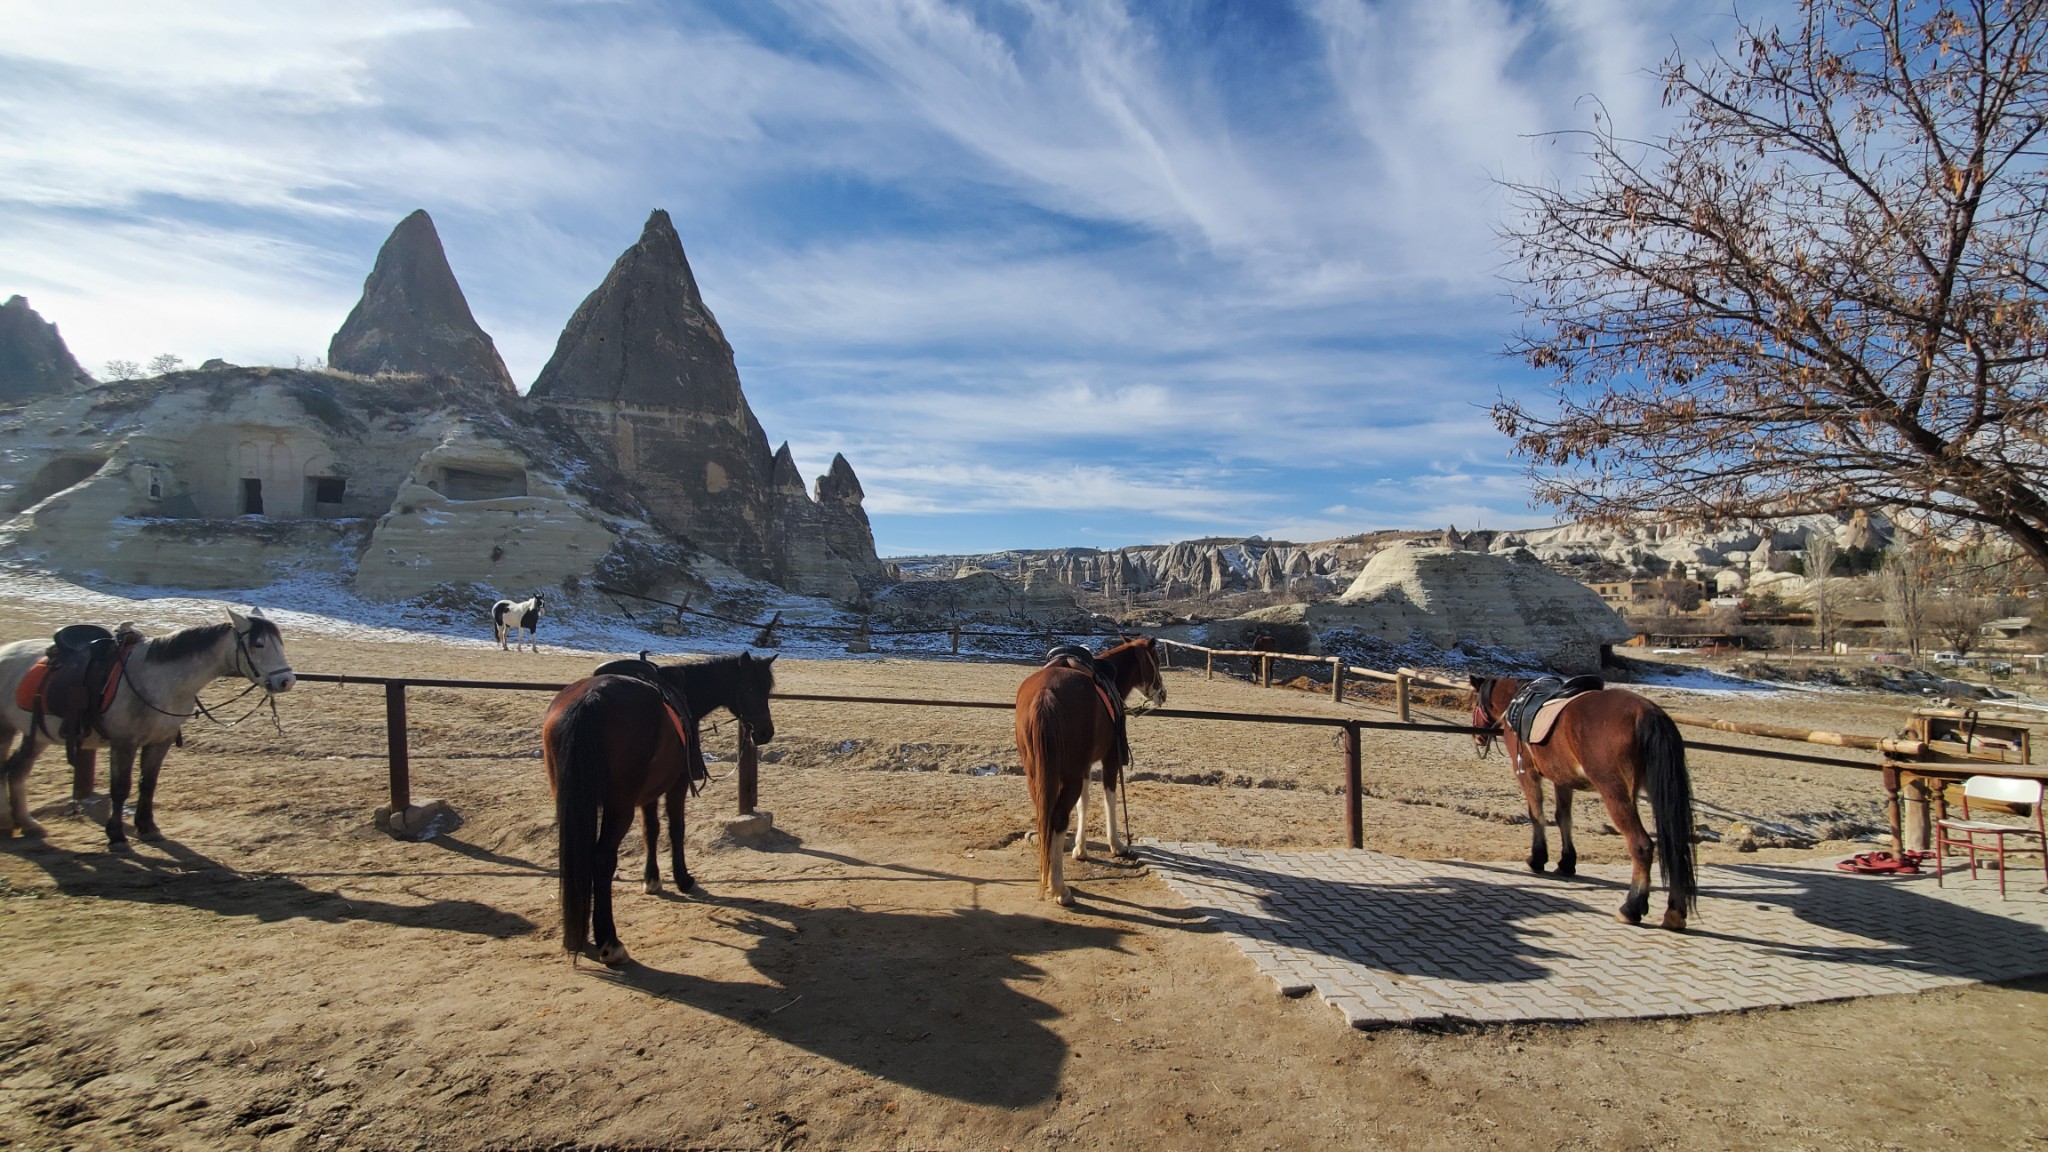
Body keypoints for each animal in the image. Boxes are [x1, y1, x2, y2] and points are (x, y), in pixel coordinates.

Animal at [0, 610, 299, 844]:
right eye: (258, 644)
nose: (286, 681)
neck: (158, 679)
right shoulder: (124, 742)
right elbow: (121, 787)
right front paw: (116, 833)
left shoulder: (160, 741)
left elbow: (148, 783)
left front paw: (148, 827)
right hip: (7, 729)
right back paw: (11, 822)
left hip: (37, 734)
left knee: (16, 770)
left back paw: (25, 824)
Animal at [544, 651, 774, 963]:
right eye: (749, 687)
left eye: (767, 690)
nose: (765, 732)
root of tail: (588, 701)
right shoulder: (677, 784)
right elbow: (676, 828)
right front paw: (683, 878)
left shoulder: (648, 794)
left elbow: (650, 831)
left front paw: (651, 880)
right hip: (619, 805)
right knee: (602, 859)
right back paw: (610, 942)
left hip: (573, 801)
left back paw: (575, 936)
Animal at [1011, 631, 1163, 901]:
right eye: (1156, 659)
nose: (1163, 694)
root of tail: (1045, 693)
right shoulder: (1110, 757)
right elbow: (1109, 798)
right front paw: (1117, 845)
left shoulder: (1084, 766)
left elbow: (1084, 802)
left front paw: (1080, 849)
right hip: (1068, 776)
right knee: (1059, 819)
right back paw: (1059, 888)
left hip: (1036, 774)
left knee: (1045, 815)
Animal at [1474, 672, 1695, 922]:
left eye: (1476, 703)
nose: (1479, 738)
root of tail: (1647, 713)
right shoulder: (1562, 779)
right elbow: (1563, 818)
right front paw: (1567, 862)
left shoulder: (1526, 772)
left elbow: (1536, 815)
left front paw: (1537, 859)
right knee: (1676, 846)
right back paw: (1675, 912)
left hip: (1615, 793)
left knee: (1642, 845)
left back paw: (1631, 907)